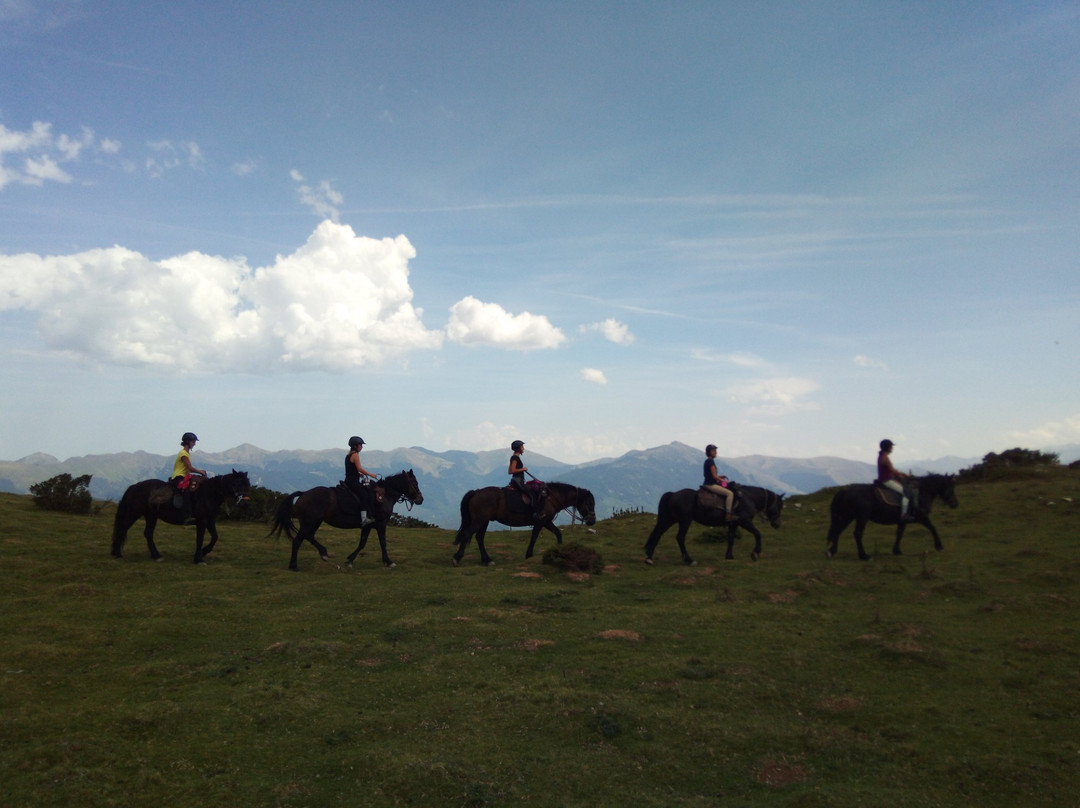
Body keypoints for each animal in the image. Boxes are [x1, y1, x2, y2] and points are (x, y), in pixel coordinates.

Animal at [110, 470, 251, 566]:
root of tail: (134, 487)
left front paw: (204, 552)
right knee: (122, 529)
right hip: (134, 513)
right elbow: (199, 539)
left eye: (248, 484)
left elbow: (215, 537)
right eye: (237, 483)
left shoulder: (210, 520)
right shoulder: (201, 521)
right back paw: (117, 554)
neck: (209, 493)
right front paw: (198, 559)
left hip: (151, 516)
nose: (246, 503)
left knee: (148, 533)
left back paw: (156, 555)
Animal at [265, 470, 421, 570]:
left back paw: (323, 553)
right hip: (310, 522)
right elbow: (382, 543)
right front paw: (388, 562)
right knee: (298, 541)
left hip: (314, 522)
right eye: (415, 483)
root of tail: (304, 494)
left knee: (309, 536)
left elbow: (362, 543)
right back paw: (294, 566)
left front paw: (350, 560)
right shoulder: (381, 524)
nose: (421, 499)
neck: (384, 496)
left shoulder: (368, 526)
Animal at [449, 483, 596, 566]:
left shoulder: (547, 522)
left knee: (479, 538)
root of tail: (476, 492)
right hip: (479, 521)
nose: (592, 521)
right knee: (467, 534)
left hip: (484, 521)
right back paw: (457, 558)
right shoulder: (540, 521)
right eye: (590, 503)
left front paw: (559, 551)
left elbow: (558, 533)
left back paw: (487, 559)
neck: (550, 498)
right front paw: (529, 554)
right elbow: (534, 537)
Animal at [639, 483, 786, 566]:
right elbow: (757, 534)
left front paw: (729, 556)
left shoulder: (734, 524)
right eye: (779, 505)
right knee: (679, 537)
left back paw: (649, 558)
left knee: (658, 533)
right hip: (685, 520)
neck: (748, 499)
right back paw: (689, 560)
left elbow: (731, 539)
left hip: (671, 519)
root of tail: (673, 494)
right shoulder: (744, 521)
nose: (777, 524)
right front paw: (756, 553)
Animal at [825, 473, 963, 561]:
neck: (921, 493)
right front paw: (939, 546)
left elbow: (899, 533)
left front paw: (897, 551)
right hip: (861, 517)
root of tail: (845, 491)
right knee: (857, 533)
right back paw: (864, 556)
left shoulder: (903, 520)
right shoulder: (921, 517)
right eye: (950, 487)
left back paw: (832, 551)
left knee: (838, 531)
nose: (955, 504)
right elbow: (933, 528)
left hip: (847, 516)